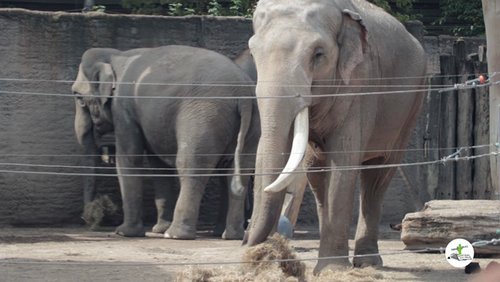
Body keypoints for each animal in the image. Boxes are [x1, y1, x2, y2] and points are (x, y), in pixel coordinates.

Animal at [73, 45, 258, 239]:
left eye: (78, 97)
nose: (90, 220)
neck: (116, 55)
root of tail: (242, 93)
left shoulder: (123, 108)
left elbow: (129, 158)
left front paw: (125, 232)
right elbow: (159, 166)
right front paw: (158, 229)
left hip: (205, 117)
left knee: (190, 165)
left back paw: (176, 234)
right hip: (251, 122)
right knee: (238, 170)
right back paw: (231, 235)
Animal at [244, 0, 428, 274]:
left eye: (318, 54)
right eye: (253, 54)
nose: (249, 247)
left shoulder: (360, 84)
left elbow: (343, 162)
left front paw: (332, 269)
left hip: (412, 104)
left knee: (378, 174)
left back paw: (367, 262)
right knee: (317, 170)